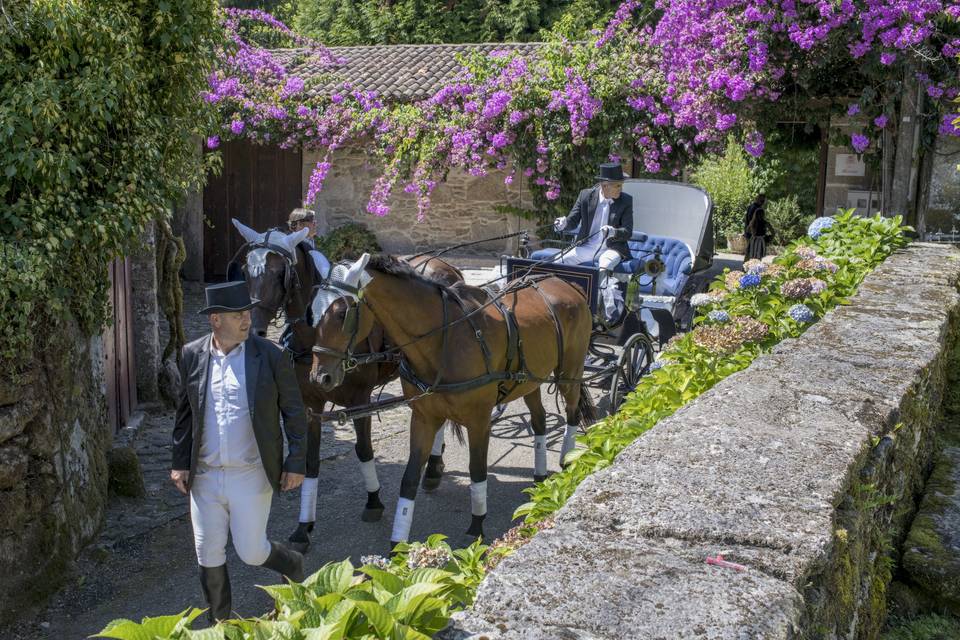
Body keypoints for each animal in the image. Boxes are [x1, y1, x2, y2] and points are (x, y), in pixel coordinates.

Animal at [229, 221, 462, 552]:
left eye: (279, 272)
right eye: (246, 270)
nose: (253, 328)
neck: (315, 341)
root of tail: (443, 263)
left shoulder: (359, 400)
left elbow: (364, 450)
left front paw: (373, 501)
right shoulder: (310, 405)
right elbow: (310, 462)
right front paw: (304, 526)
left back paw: (433, 466)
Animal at [310, 252, 592, 548]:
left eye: (342, 314)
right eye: (311, 311)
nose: (320, 377)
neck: (443, 338)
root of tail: (567, 284)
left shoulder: (479, 420)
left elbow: (477, 470)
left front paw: (477, 525)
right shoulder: (424, 418)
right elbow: (409, 479)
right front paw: (398, 544)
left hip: (569, 373)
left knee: (572, 412)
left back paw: (567, 460)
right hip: (530, 380)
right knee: (539, 421)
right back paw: (539, 477)